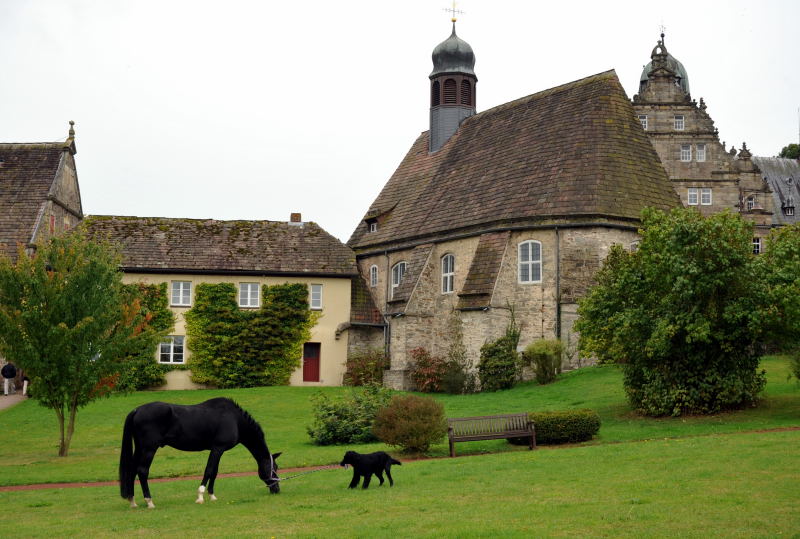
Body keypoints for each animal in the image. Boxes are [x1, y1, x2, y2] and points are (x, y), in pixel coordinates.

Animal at [117, 396, 282, 510]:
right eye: (275, 468)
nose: (277, 489)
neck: (234, 419)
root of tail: (137, 410)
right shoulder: (217, 448)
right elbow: (209, 470)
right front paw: (200, 496)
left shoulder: (218, 450)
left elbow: (214, 472)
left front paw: (212, 495)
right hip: (149, 449)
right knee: (142, 471)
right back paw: (149, 502)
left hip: (140, 448)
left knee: (132, 470)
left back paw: (132, 501)